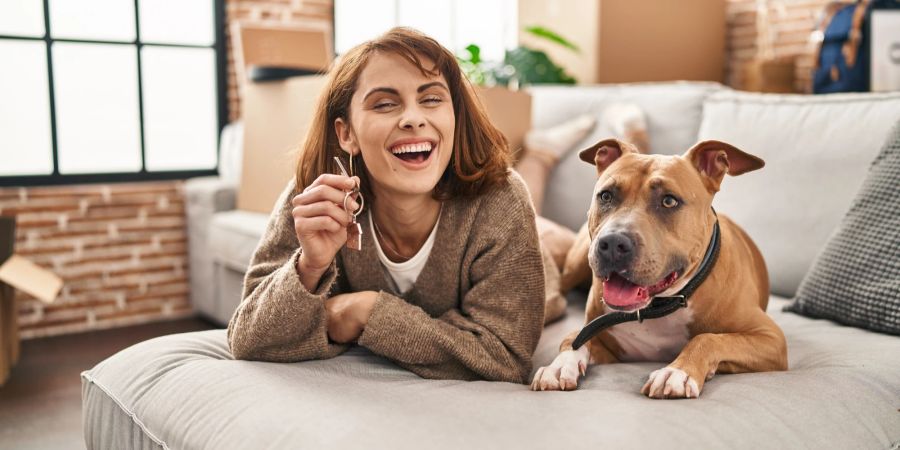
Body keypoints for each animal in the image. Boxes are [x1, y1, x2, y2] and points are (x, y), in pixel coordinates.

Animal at [532, 138, 784, 398]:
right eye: (606, 196)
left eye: (669, 201)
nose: (612, 243)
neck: (661, 305)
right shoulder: (602, 341)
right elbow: (572, 337)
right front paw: (560, 366)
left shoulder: (771, 338)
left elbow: (708, 338)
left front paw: (677, 372)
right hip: (577, 261)